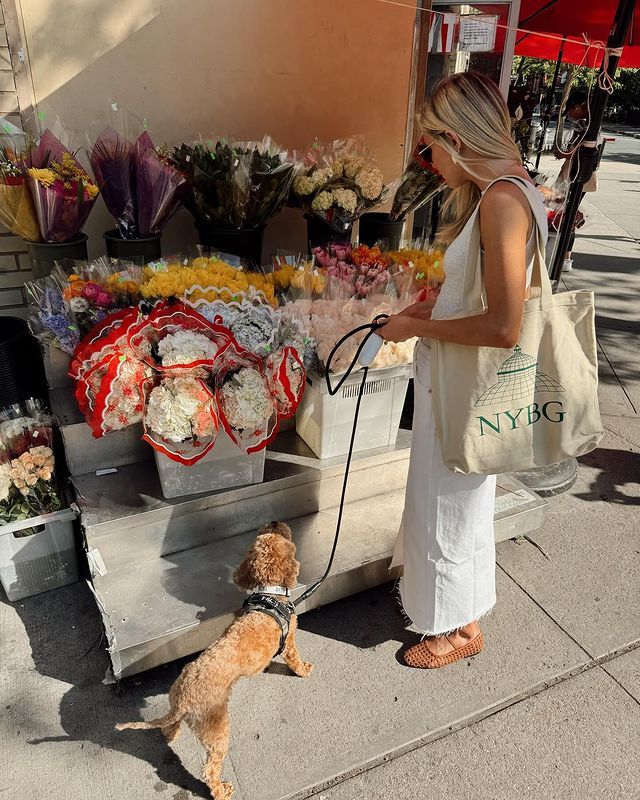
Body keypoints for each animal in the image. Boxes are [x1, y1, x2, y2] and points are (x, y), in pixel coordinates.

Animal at [117, 520, 316, 800]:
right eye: (276, 533)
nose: (275, 521)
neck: (269, 597)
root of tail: (183, 700)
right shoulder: (288, 643)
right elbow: (295, 659)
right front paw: (305, 670)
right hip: (216, 730)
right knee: (209, 769)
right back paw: (221, 790)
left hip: (181, 710)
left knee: (168, 727)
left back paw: (171, 736)